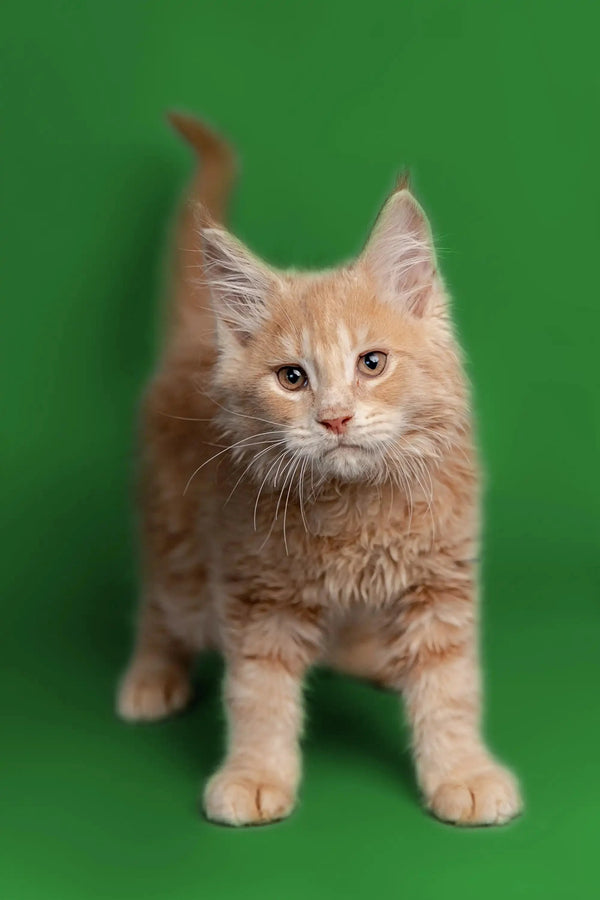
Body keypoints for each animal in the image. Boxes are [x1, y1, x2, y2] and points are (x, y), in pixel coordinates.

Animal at [116, 112, 520, 828]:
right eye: (292, 378)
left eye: (372, 363)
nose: (334, 419)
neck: (354, 510)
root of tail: (197, 337)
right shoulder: (257, 594)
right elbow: (258, 696)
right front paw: (255, 775)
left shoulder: (439, 581)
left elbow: (449, 688)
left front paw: (461, 772)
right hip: (179, 546)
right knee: (160, 607)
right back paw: (151, 676)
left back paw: (375, 658)